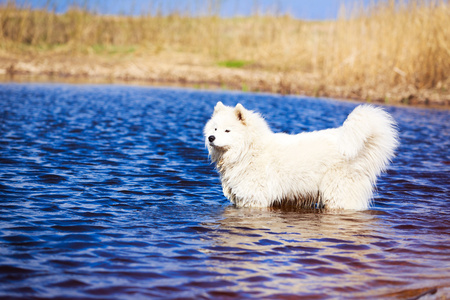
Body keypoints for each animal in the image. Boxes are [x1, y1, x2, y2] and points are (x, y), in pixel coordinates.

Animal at [204, 102, 398, 210]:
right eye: (215, 128)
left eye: (227, 130)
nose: (210, 138)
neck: (249, 150)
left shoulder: (254, 198)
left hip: (338, 195)